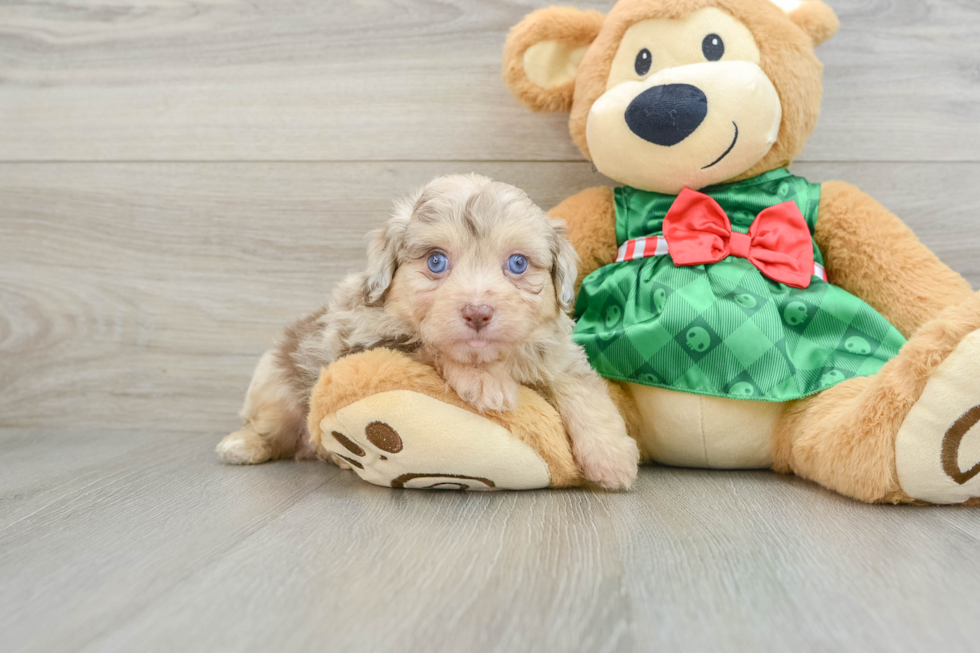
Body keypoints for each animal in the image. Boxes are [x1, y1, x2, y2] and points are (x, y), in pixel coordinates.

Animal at [218, 176, 640, 486]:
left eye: (518, 264)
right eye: (436, 261)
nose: (477, 312)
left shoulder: (558, 353)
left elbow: (584, 391)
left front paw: (612, 457)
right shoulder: (365, 339)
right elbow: (429, 344)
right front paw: (484, 381)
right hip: (273, 383)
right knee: (271, 427)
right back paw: (242, 445)